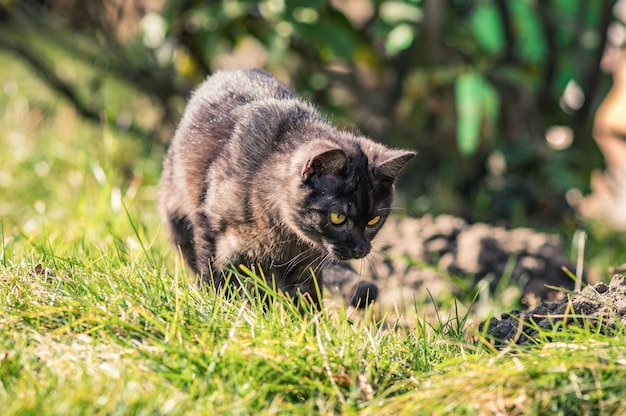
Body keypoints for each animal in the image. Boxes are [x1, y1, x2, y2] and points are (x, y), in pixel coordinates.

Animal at [158, 68, 414, 308]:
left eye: (374, 221)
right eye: (338, 218)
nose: (359, 249)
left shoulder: (305, 263)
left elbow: (306, 299)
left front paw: (309, 325)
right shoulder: (210, 231)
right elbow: (215, 279)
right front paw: (221, 311)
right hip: (178, 222)